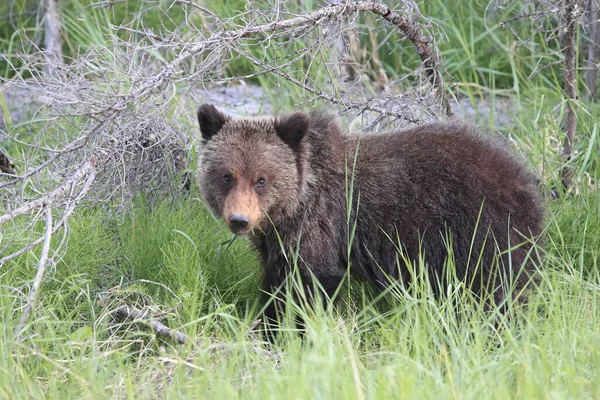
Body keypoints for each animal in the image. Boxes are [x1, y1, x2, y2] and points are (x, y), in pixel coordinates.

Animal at [197, 103, 544, 328]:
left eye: (261, 179)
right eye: (226, 176)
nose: (239, 220)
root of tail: (525, 179)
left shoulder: (320, 220)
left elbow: (310, 280)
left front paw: (293, 331)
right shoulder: (276, 238)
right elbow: (277, 277)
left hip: (478, 228)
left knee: (494, 287)